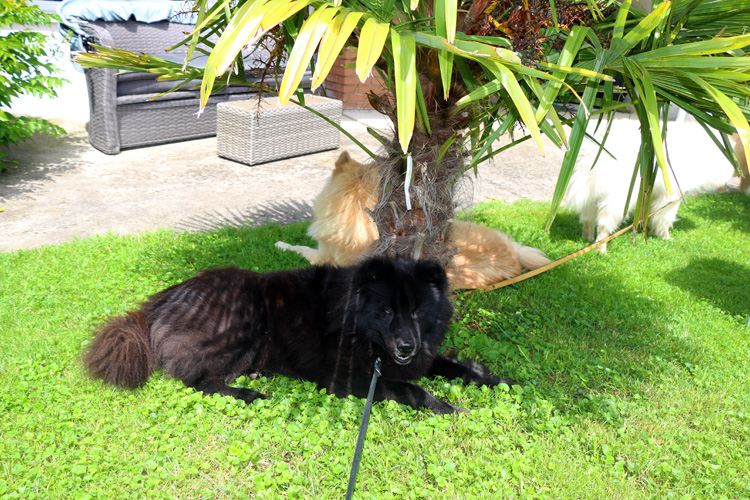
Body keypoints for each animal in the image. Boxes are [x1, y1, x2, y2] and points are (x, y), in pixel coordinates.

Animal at [85, 256, 516, 412]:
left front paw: (501, 381)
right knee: (199, 381)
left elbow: (456, 366)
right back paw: (249, 394)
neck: (358, 327)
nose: (406, 346)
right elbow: (411, 389)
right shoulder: (351, 377)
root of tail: (158, 303)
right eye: (387, 311)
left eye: (418, 311)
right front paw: (449, 407)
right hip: (243, 320)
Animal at [568, 118, 736, 254]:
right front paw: (665, 236)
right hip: (618, 199)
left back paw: (588, 239)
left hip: (592, 194)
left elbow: (649, 214)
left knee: (587, 219)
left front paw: (647, 228)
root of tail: (593, 146)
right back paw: (601, 249)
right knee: (603, 225)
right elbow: (664, 219)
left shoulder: (649, 194)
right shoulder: (670, 196)